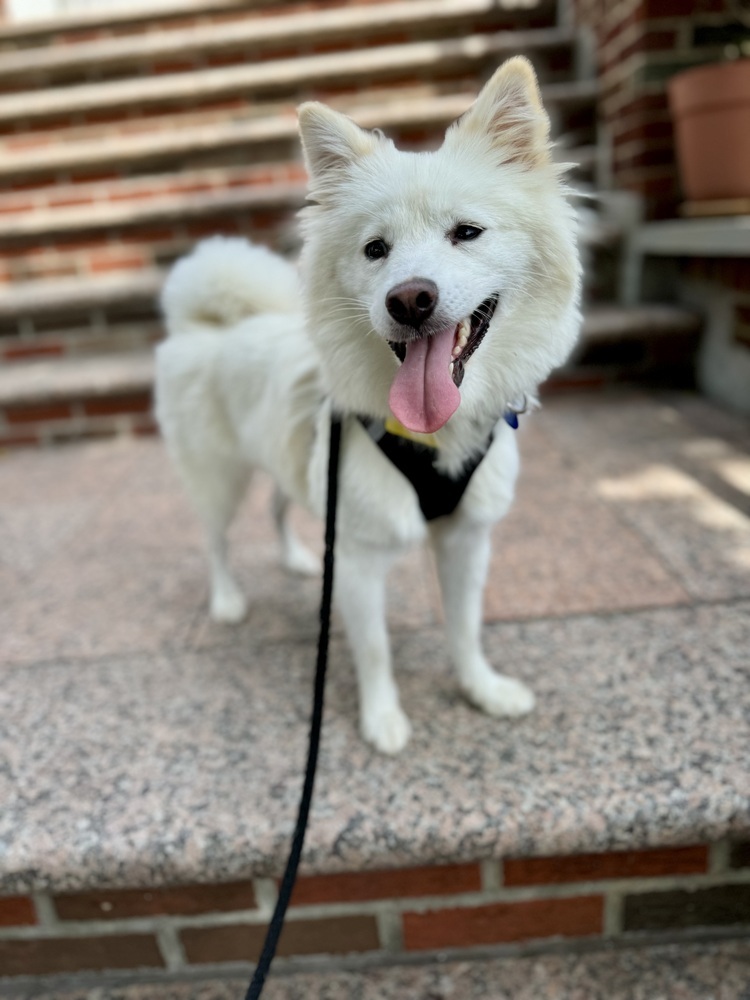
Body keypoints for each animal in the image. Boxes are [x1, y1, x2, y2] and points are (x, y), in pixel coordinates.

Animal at [157, 58, 580, 752]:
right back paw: (226, 602)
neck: (435, 436)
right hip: (217, 474)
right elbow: (375, 648)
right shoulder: (359, 558)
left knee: (278, 507)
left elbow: (465, 628)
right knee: (214, 539)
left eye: (467, 233)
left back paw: (298, 561)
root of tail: (207, 320)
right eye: (375, 248)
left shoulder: (466, 540)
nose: (409, 299)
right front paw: (383, 721)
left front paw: (482, 690)